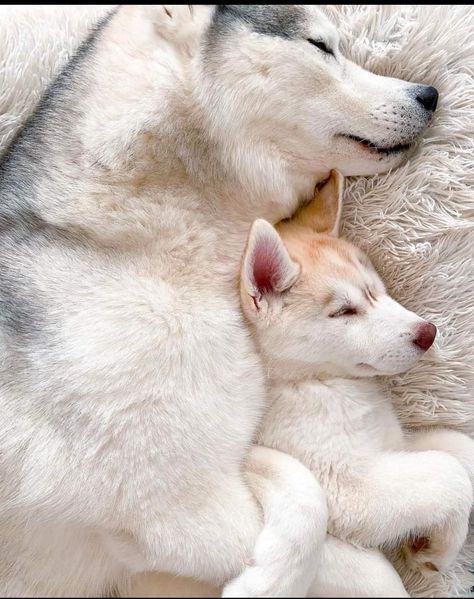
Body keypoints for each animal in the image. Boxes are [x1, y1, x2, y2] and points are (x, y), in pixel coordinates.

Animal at [237, 171, 474, 596]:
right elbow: (448, 472)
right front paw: (441, 548)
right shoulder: (348, 488)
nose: (428, 332)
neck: (318, 381)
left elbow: (458, 449)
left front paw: (433, 540)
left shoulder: (391, 449)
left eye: (378, 291)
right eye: (345, 311)